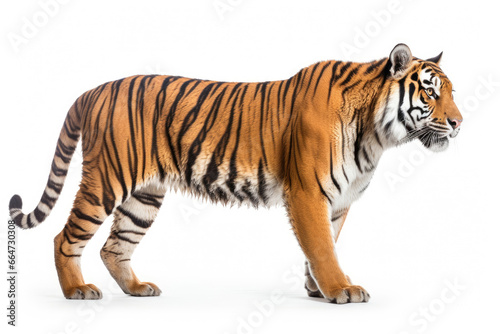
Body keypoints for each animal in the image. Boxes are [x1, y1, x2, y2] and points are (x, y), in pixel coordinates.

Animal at [7, 43, 460, 302]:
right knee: (65, 238)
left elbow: (325, 243)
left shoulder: (338, 200)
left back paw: (137, 289)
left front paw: (318, 290)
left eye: (451, 92)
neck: (376, 135)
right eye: (430, 92)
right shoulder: (308, 192)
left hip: (144, 196)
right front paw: (340, 290)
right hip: (106, 181)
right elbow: (321, 247)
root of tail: (92, 90)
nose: (458, 122)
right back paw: (76, 291)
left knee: (113, 247)